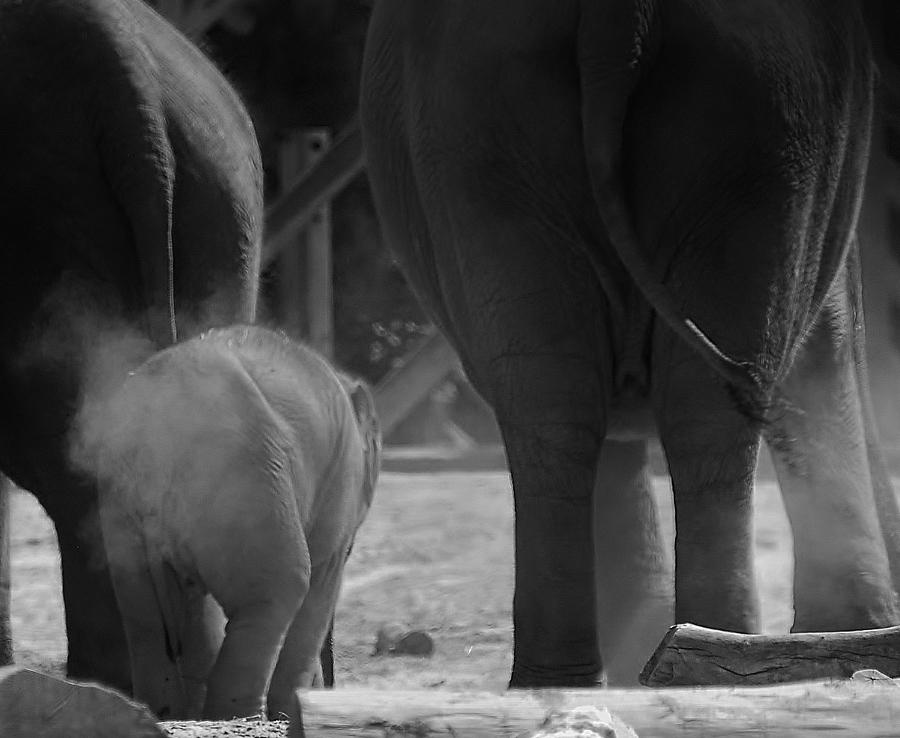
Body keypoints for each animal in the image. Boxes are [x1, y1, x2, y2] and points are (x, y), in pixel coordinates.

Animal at [71, 325, 381, 719]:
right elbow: (324, 579)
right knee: (281, 589)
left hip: (120, 507)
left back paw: (167, 713)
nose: (325, 685)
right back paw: (241, 716)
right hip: (249, 480)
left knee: (143, 613)